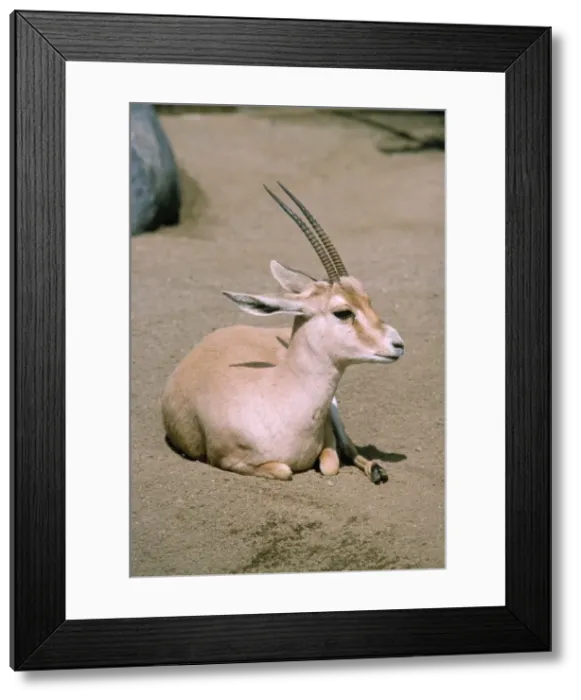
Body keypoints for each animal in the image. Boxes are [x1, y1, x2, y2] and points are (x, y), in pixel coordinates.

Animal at [161, 182, 405, 485]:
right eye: (343, 312)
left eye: (367, 299)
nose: (397, 344)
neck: (277, 396)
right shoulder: (229, 460)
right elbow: (285, 470)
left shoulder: (328, 442)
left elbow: (331, 464)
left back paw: (377, 470)